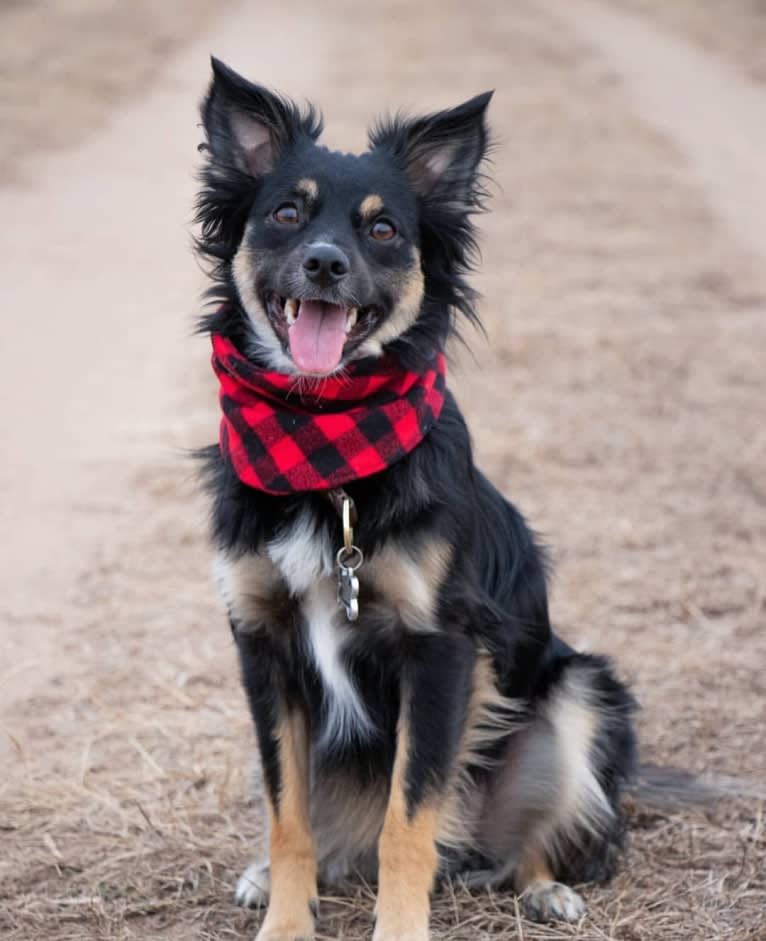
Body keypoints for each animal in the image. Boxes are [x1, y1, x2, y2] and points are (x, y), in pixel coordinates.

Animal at [195, 57, 640, 940]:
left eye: (384, 231)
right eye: (287, 212)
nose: (325, 263)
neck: (326, 450)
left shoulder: (439, 649)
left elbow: (409, 821)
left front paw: (399, 927)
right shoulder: (261, 643)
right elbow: (287, 814)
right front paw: (286, 919)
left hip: (580, 692)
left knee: (517, 841)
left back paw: (544, 885)